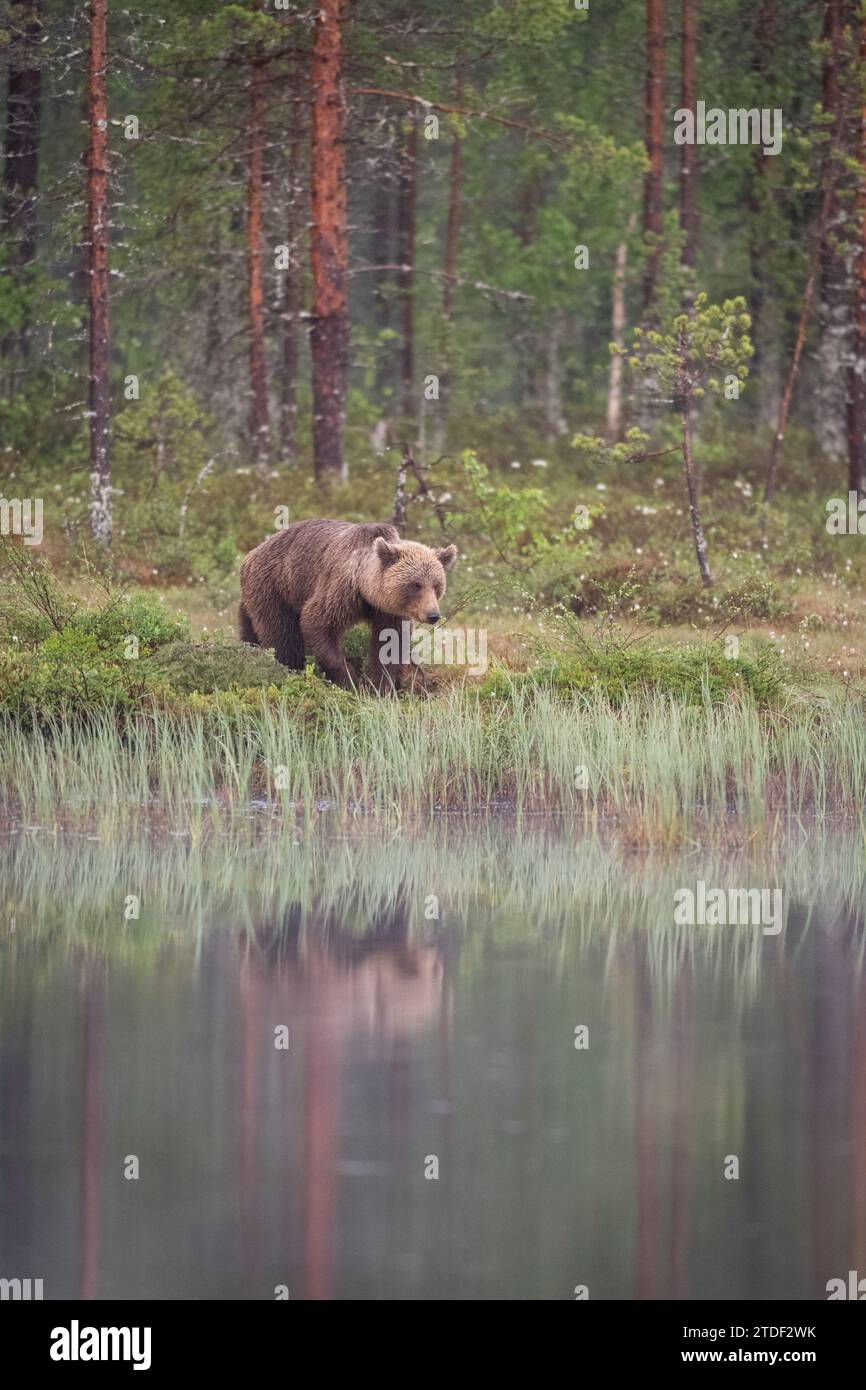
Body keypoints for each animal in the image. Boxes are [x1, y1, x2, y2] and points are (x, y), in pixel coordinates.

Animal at [233, 519, 458, 692]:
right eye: (416, 585)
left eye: (437, 585)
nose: (433, 615)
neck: (366, 591)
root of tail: (252, 553)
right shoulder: (341, 590)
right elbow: (318, 622)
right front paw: (350, 680)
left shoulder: (388, 611)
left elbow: (389, 643)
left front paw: (382, 687)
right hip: (274, 586)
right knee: (282, 634)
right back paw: (290, 669)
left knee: (250, 626)